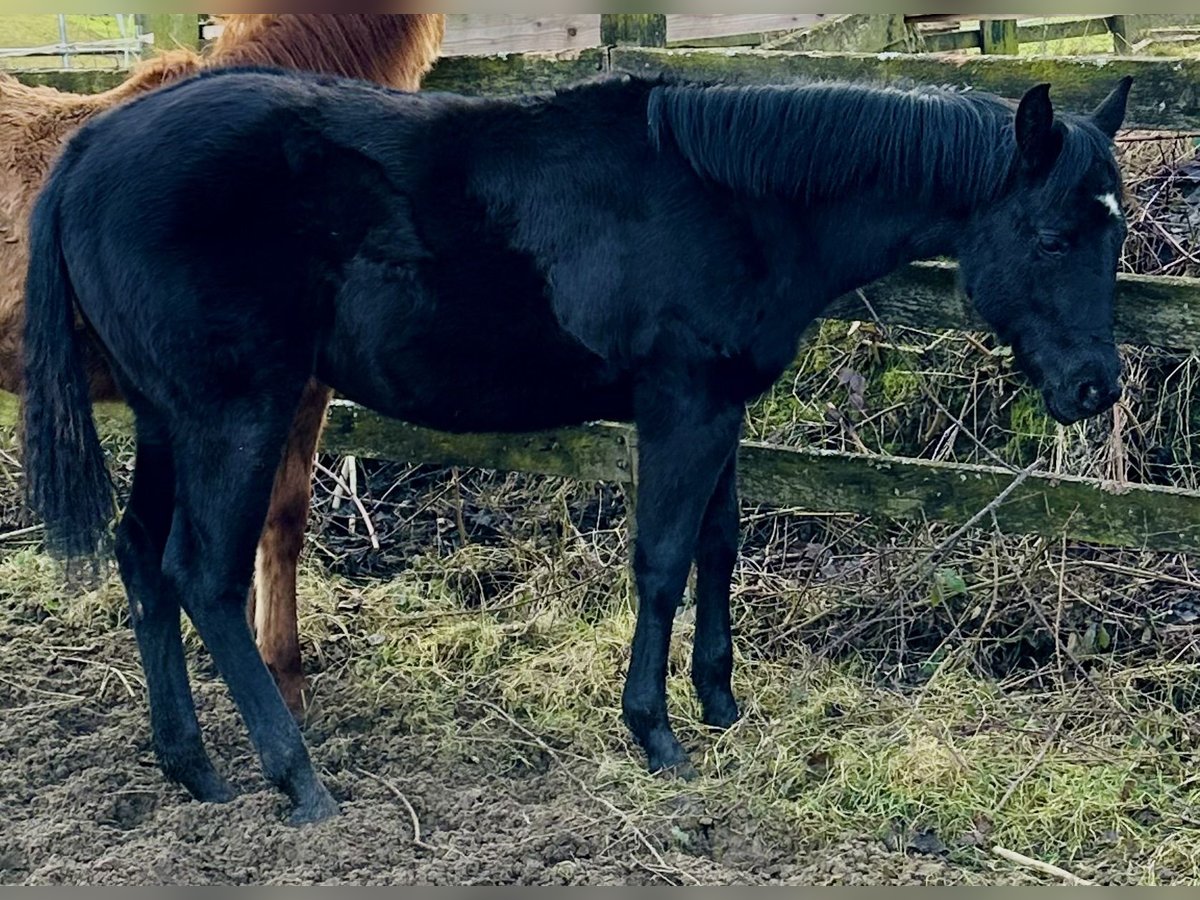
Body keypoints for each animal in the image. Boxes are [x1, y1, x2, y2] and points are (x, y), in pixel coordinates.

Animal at [21, 65, 1132, 825]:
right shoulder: (682, 407)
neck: (737, 202)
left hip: (169, 419)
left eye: (1114, 233)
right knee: (203, 575)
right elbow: (662, 561)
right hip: (236, 417)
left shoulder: (721, 410)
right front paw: (655, 730)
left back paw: (194, 769)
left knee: (142, 562)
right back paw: (296, 780)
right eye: (1050, 237)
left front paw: (720, 701)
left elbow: (719, 546)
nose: (1097, 387)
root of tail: (88, 149)